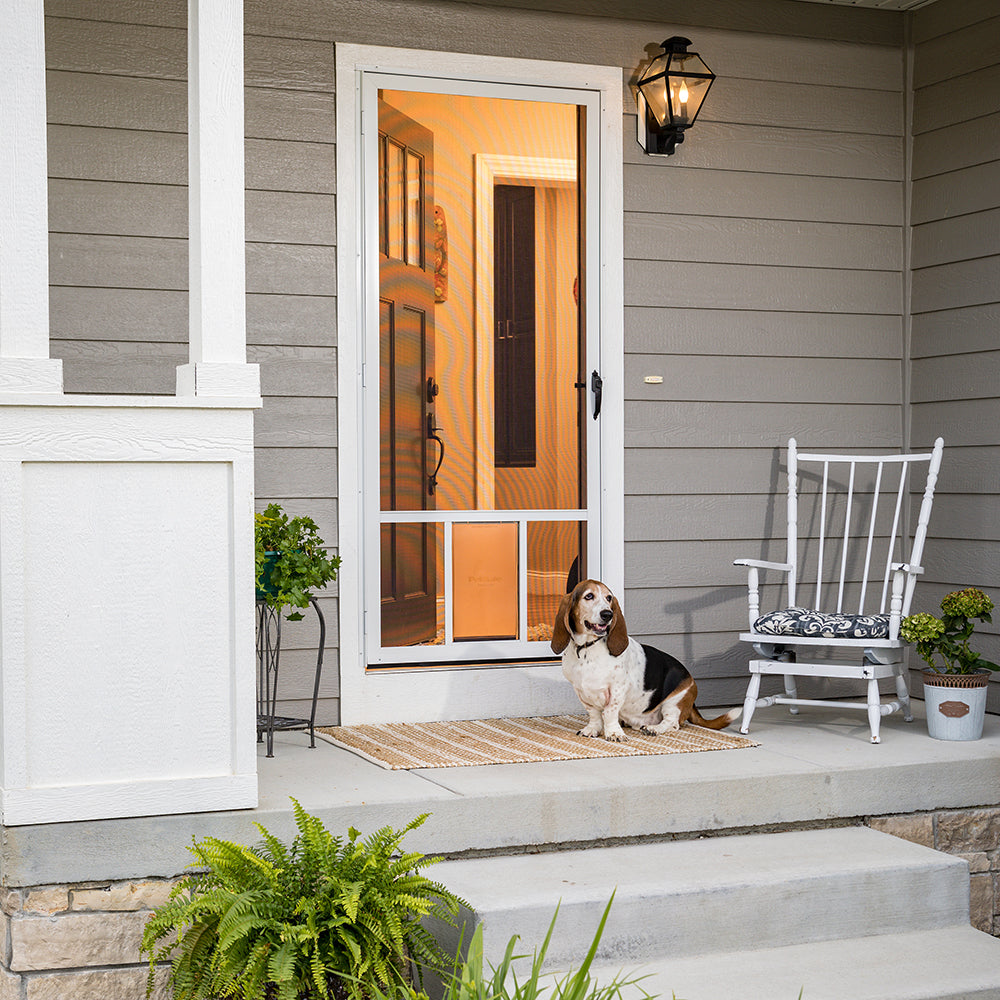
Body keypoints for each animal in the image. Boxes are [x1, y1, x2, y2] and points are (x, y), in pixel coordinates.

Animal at [552, 580, 740, 744]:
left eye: (608, 598)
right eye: (589, 596)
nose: (608, 614)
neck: (587, 649)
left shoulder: (617, 689)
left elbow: (609, 713)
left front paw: (613, 733)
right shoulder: (581, 692)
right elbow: (594, 714)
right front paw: (592, 729)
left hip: (674, 701)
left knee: (672, 723)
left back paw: (653, 729)